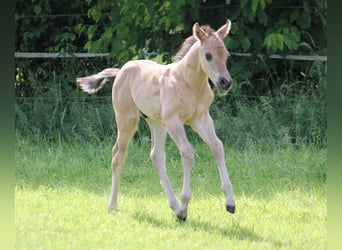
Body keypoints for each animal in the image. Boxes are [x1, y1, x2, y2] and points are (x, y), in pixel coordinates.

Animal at [76, 20, 235, 221]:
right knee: (118, 156)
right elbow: (187, 153)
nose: (225, 83)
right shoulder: (174, 121)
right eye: (208, 55)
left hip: (156, 122)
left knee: (156, 156)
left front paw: (230, 203)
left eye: (226, 54)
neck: (189, 83)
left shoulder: (201, 119)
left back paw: (174, 206)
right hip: (127, 121)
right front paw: (184, 207)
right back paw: (113, 205)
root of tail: (121, 71)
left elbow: (217, 147)